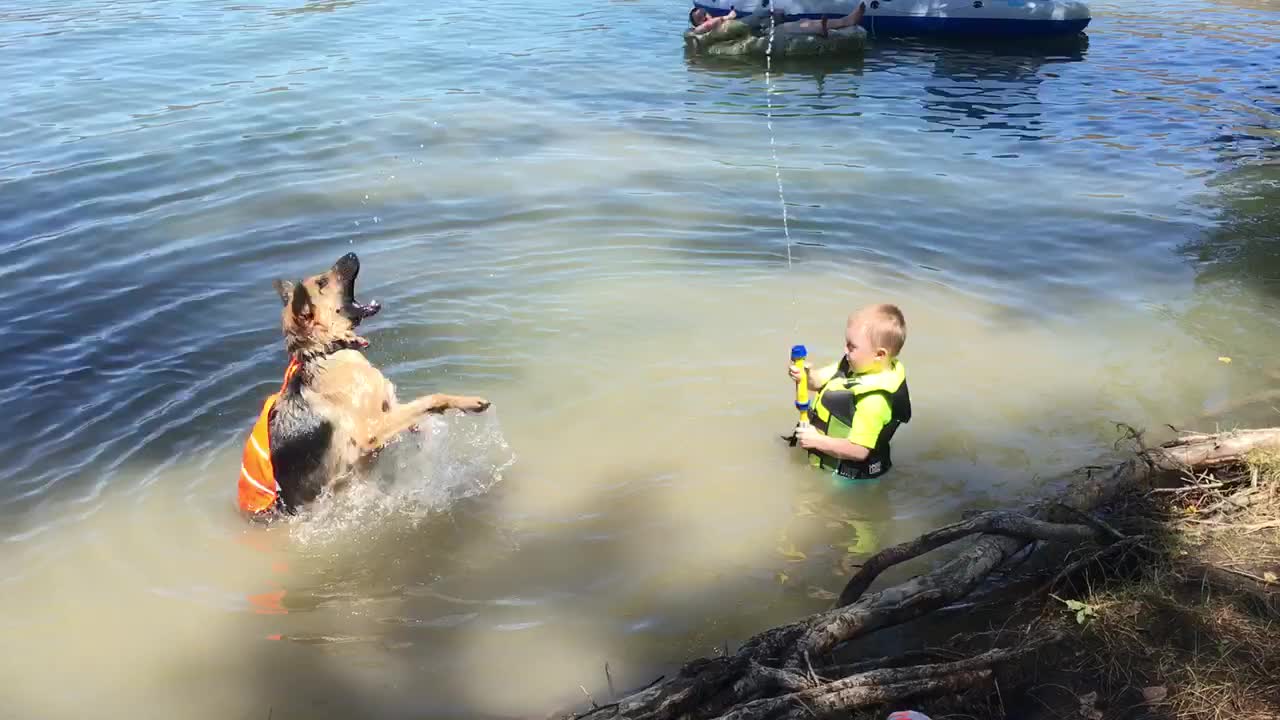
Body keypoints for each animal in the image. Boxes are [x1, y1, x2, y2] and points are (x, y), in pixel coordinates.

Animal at [241, 249, 491, 512]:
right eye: (322, 282)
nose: (351, 253)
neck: (326, 351)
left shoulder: (389, 409)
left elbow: (417, 415)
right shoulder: (372, 431)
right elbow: (430, 399)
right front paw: (470, 402)